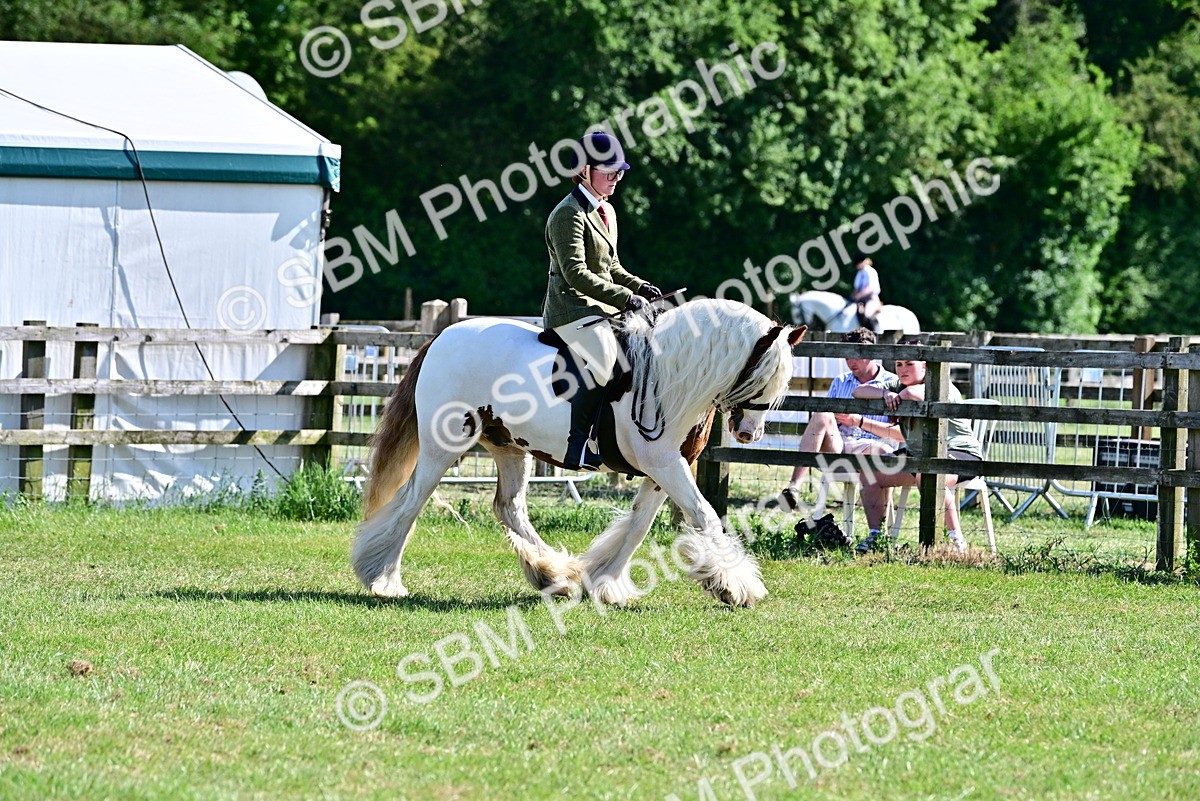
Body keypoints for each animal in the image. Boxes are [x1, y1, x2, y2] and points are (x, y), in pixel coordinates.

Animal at [352, 299, 807, 607]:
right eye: (761, 375)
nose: (749, 433)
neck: (669, 376)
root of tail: (441, 337)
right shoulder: (665, 464)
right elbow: (705, 515)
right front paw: (735, 585)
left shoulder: (662, 469)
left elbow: (638, 526)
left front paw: (605, 582)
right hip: (442, 446)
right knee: (412, 502)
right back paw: (383, 579)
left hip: (509, 447)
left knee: (509, 507)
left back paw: (553, 575)